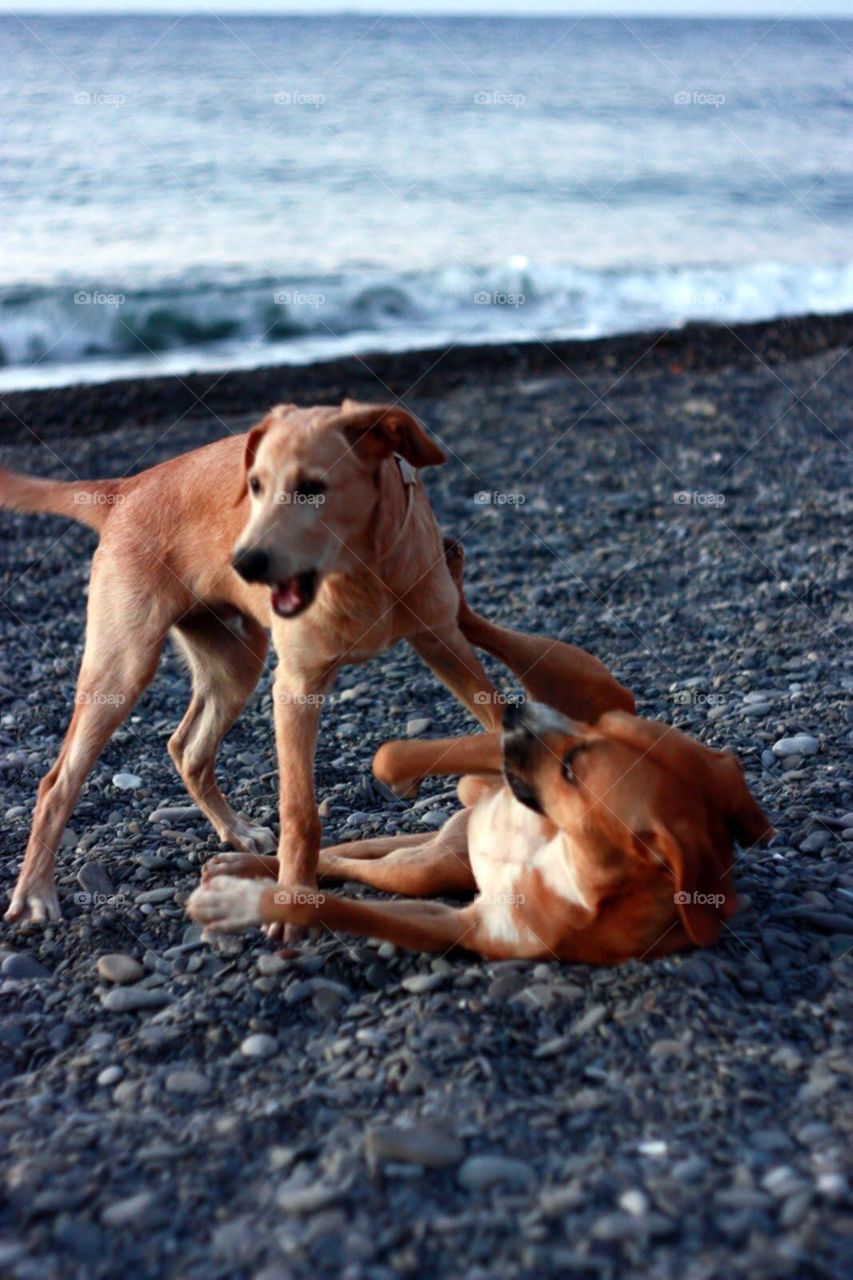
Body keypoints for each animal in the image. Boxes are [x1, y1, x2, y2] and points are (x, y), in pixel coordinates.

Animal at [1, 399, 512, 921]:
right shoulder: (296, 687)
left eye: (312, 488)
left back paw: (237, 831)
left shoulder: (443, 643)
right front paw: (294, 896)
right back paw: (35, 891)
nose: (242, 562)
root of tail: (126, 490)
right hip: (122, 667)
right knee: (57, 782)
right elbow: (300, 811)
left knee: (188, 749)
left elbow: (494, 718)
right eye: (255, 487)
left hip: (236, 662)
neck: (359, 573)